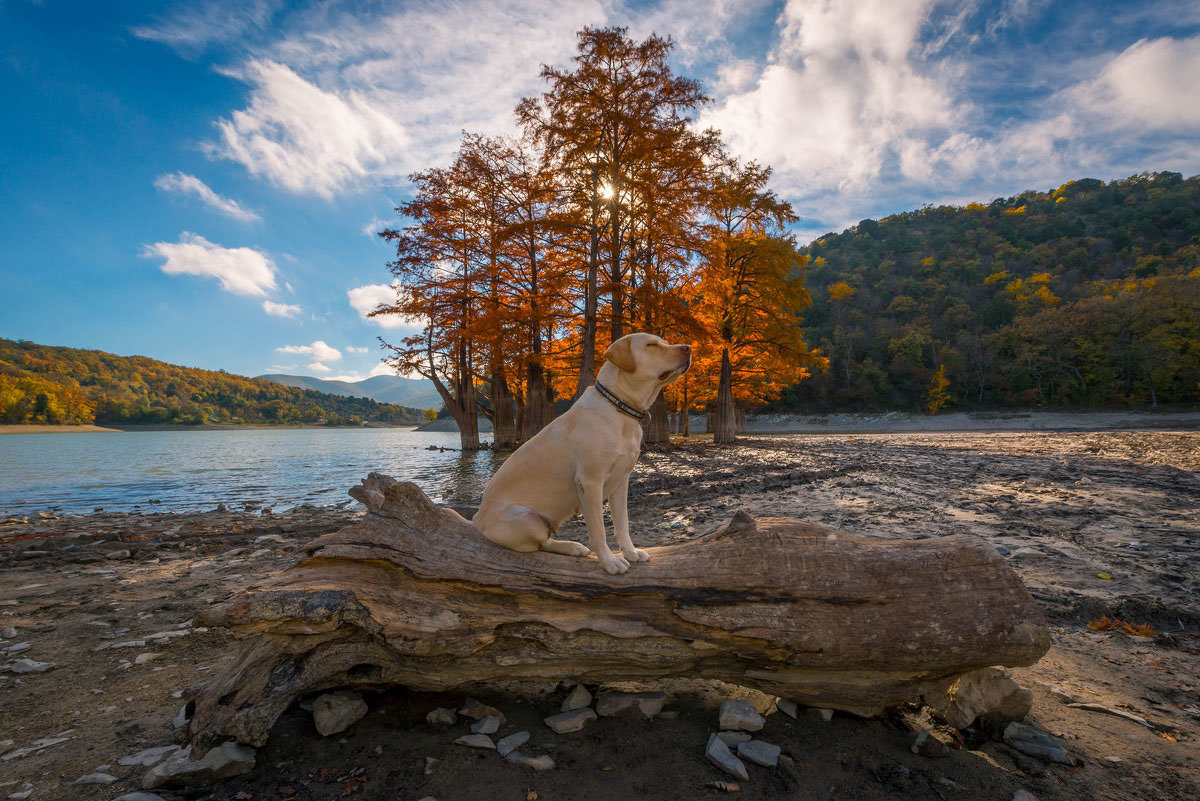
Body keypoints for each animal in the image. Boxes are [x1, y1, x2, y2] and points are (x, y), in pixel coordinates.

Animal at [470, 335, 691, 573]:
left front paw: (631, 553)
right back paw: (571, 546)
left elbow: (622, 524)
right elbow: (598, 531)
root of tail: (476, 518)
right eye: (651, 345)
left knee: (546, 540)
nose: (688, 348)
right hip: (527, 519)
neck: (620, 408)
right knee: (540, 544)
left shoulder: (622, 481)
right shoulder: (590, 482)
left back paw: (573, 546)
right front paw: (610, 562)